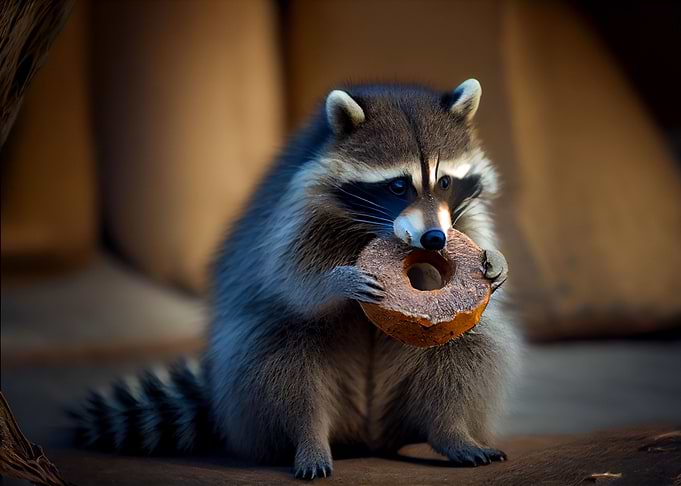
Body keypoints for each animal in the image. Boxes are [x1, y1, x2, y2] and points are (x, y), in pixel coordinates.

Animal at [71, 79, 520, 480]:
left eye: (444, 182)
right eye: (397, 186)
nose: (434, 239)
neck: (374, 227)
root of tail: (369, 435)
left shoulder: (460, 217)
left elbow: (471, 257)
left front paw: (494, 260)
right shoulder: (294, 208)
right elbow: (291, 278)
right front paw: (338, 281)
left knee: (470, 346)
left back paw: (451, 431)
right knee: (280, 354)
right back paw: (308, 438)